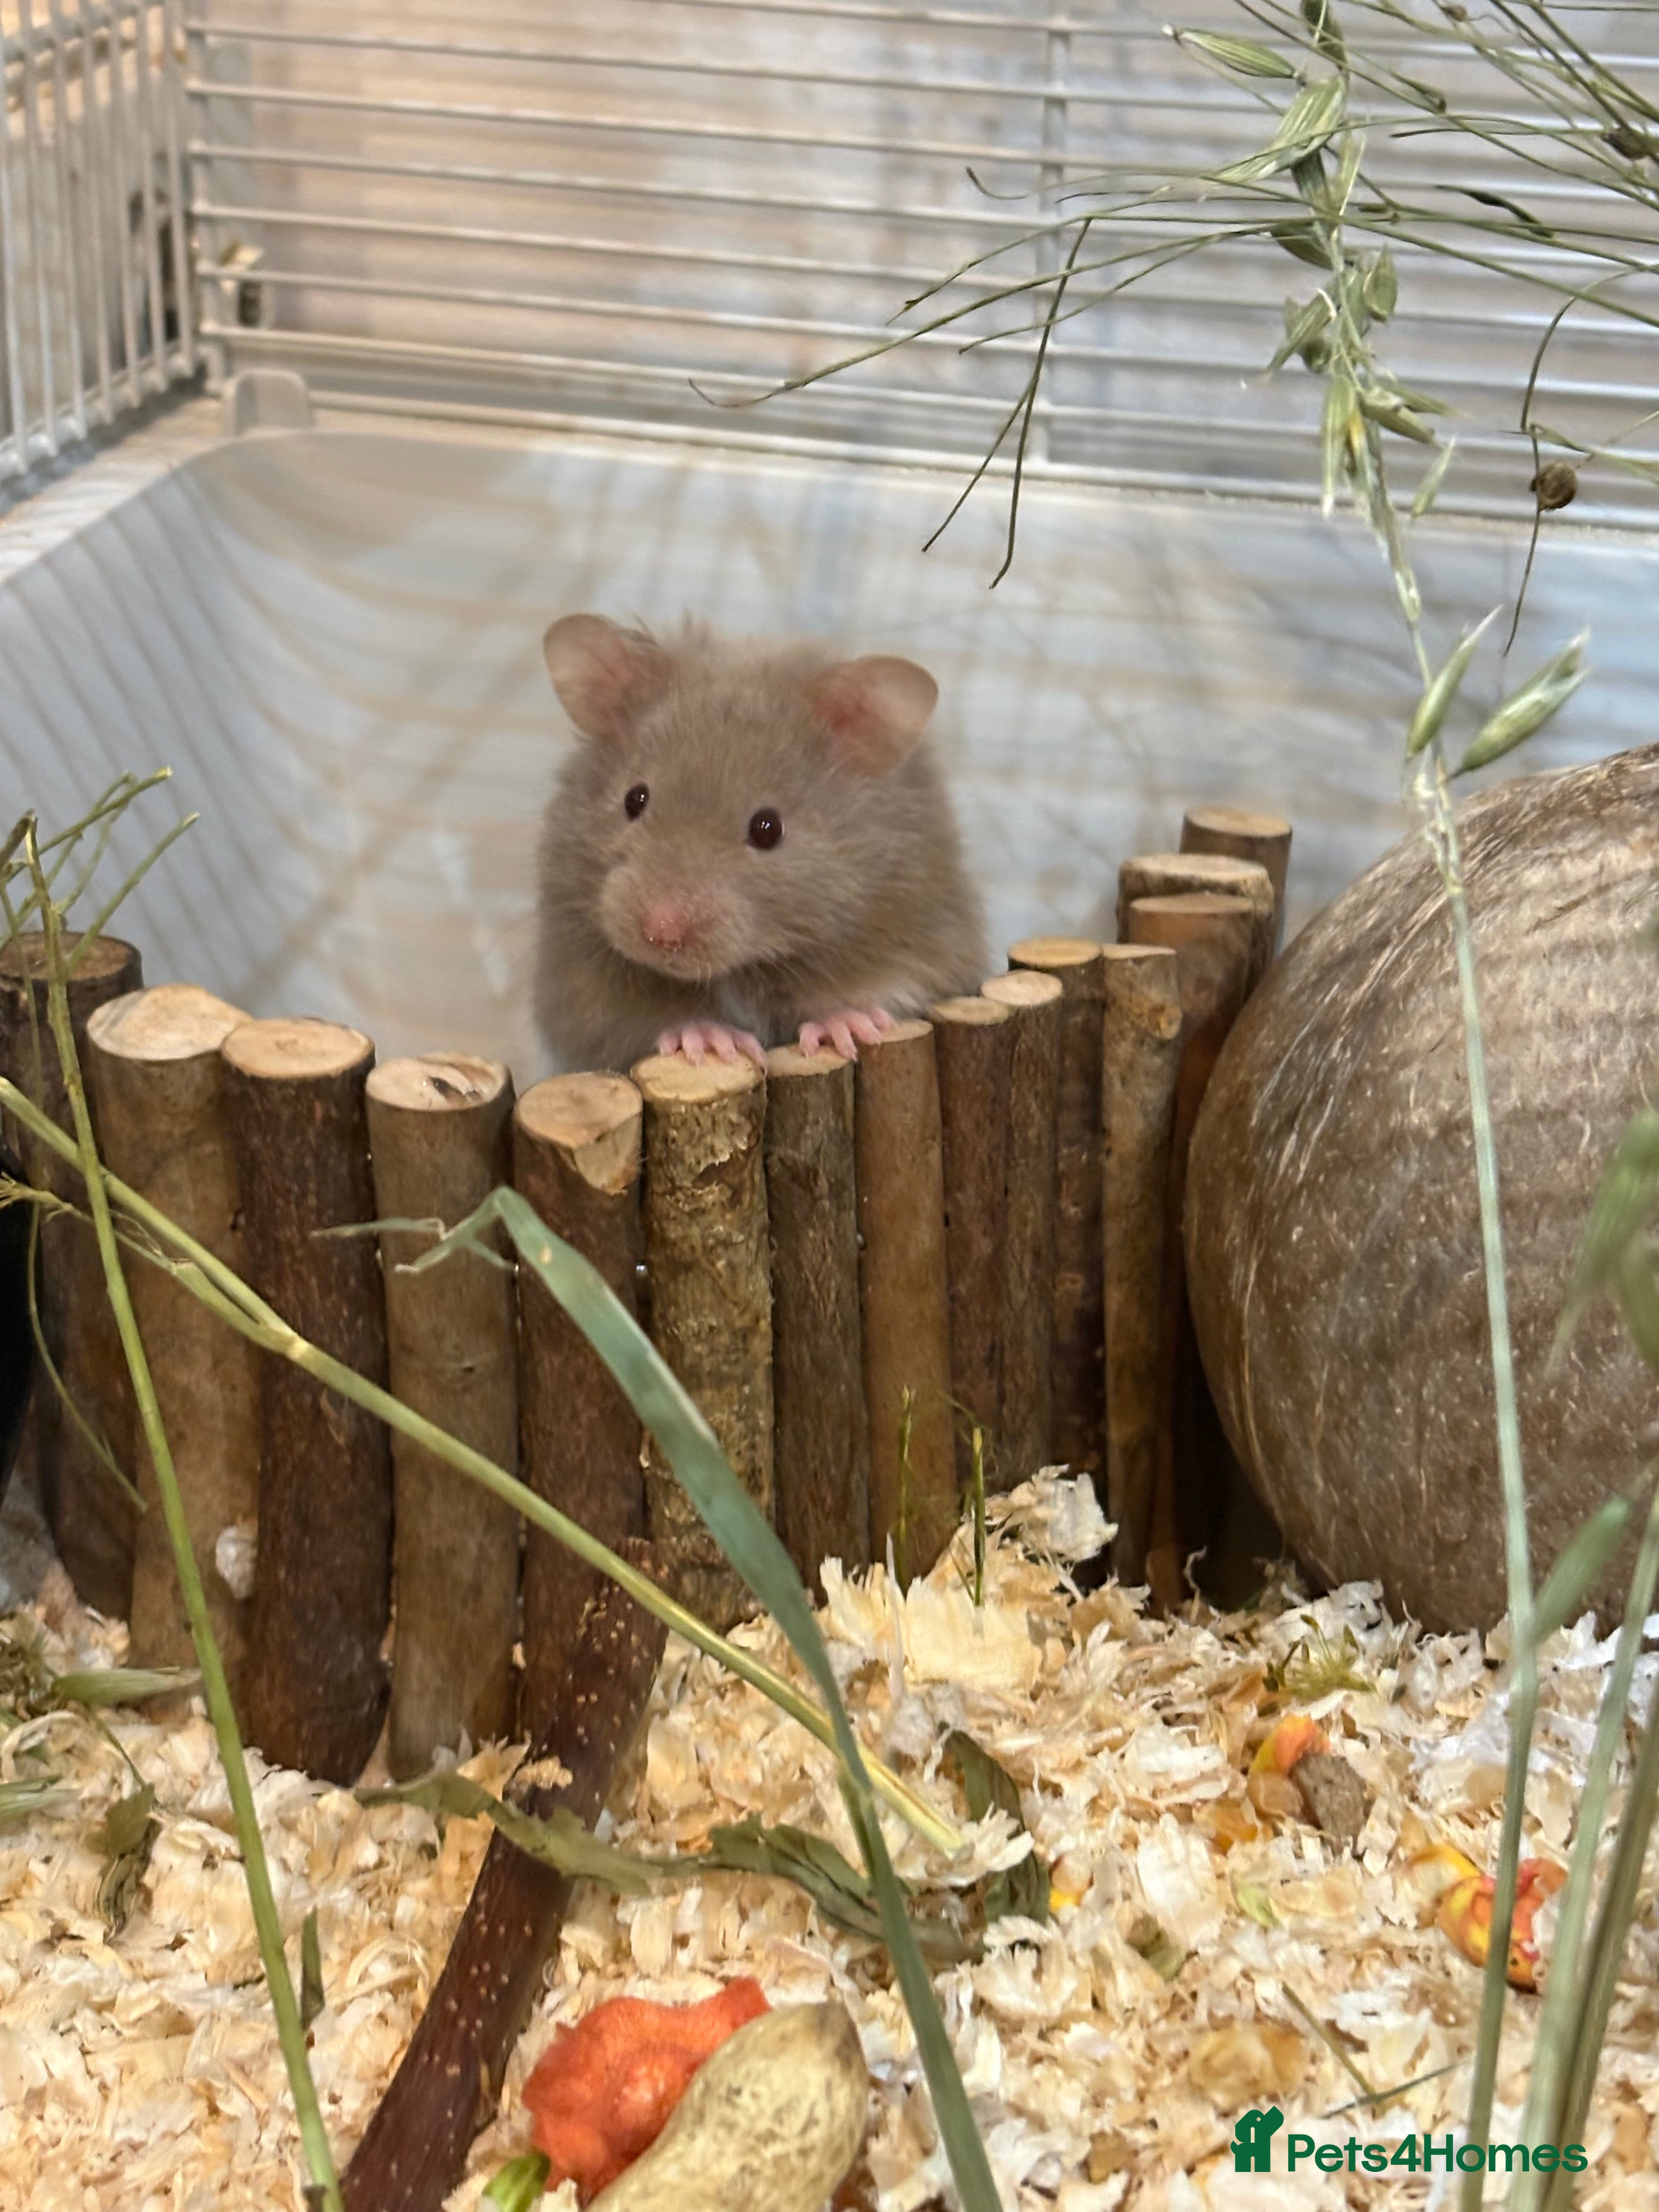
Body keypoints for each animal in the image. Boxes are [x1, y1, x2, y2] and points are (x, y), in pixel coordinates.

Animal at [533, 613, 989, 1071]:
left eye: (768, 828)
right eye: (634, 799)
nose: (662, 933)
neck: (748, 967)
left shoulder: (917, 935)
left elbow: (879, 989)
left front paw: (846, 1027)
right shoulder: (579, 988)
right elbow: (649, 1018)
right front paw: (711, 1041)